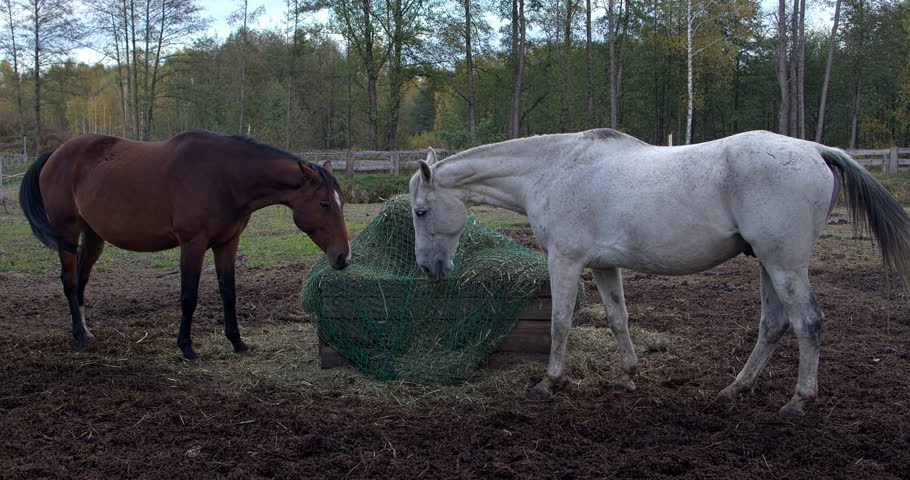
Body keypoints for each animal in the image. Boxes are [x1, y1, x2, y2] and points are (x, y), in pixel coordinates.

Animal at [19, 130, 351, 362]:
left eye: (341, 201)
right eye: (323, 203)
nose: (343, 257)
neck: (225, 176)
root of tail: (55, 154)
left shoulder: (227, 243)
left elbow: (229, 293)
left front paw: (237, 342)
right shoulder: (192, 244)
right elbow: (188, 297)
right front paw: (187, 348)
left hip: (94, 236)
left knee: (82, 280)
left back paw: (86, 331)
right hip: (67, 231)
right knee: (70, 281)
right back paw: (80, 335)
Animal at [409, 129, 910, 415]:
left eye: (419, 211)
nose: (430, 268)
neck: (553, 169)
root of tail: (816, 150)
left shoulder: (565, 261)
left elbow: (561, 323)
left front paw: (548, 383)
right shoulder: (603, 265)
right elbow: (618, 320)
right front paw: (628, 376)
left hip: (785, 265)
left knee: (808, 323)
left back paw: (797, 402)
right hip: (768, 265)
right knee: (774, 325)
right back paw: (735, 390)